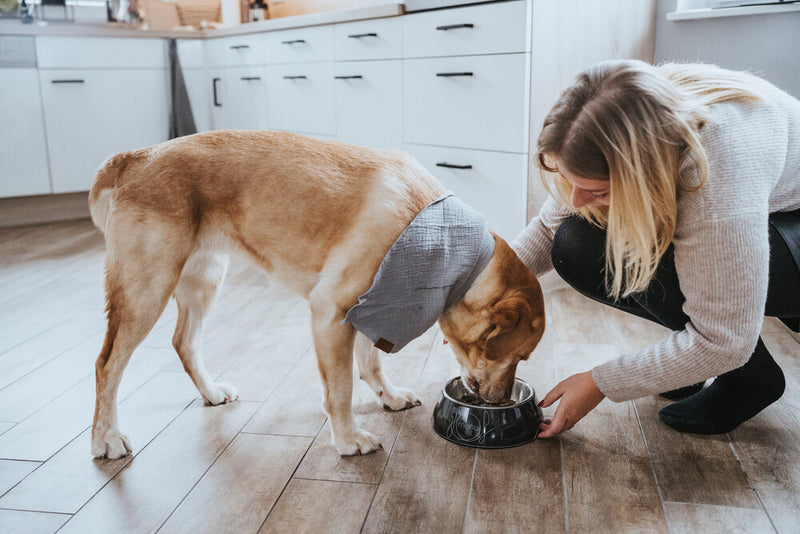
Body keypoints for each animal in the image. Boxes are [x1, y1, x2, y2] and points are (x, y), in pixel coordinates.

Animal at [90, 131, 548, 460]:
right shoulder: (331, 314)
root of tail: (136, 155)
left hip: (204, 279)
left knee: (184, 343)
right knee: (107, 365)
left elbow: (371, 363)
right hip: (147, 289)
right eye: (520, 356)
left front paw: (389, 397)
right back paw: (106, 438)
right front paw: (347, 439)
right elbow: (341, 390)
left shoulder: (375, 306)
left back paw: (210, 392)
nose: (502, 400)